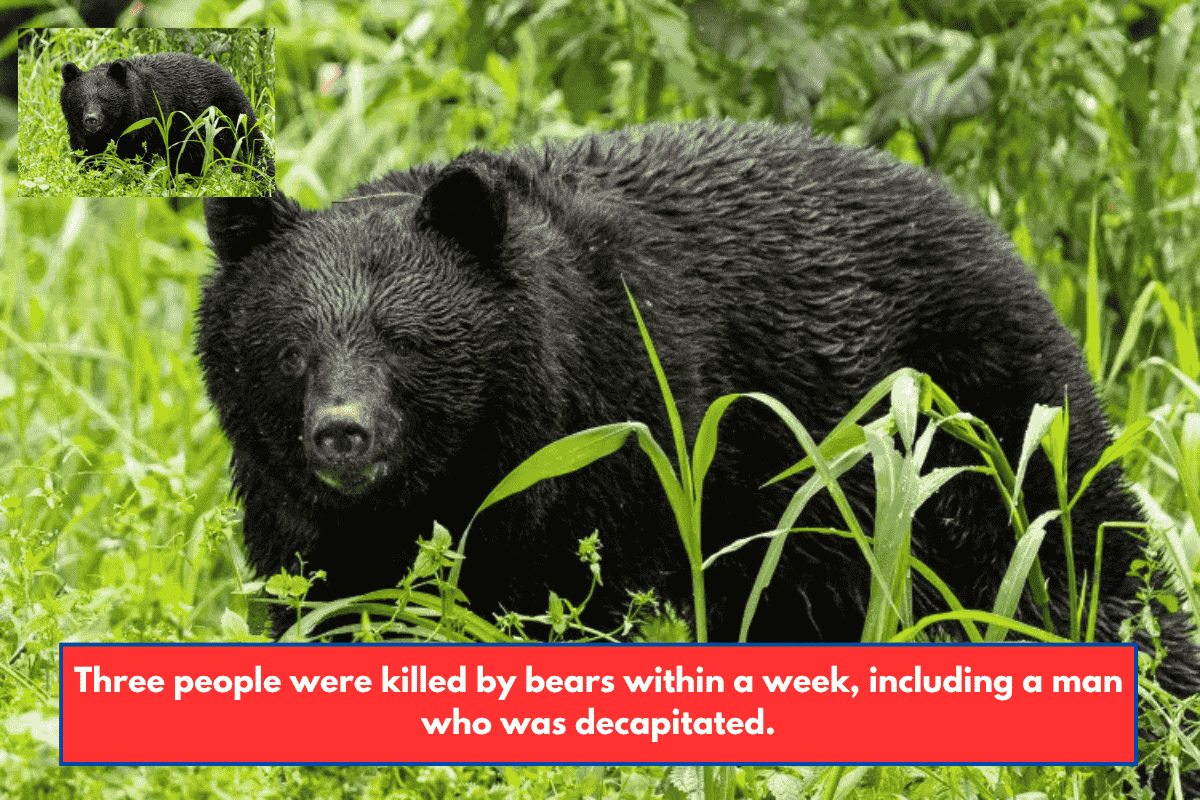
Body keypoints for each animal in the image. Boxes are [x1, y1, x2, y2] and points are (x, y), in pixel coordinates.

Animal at [60, 52, 272, 178]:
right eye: (81, 100)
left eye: (104, 99)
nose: (91, 119)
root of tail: (231, 76)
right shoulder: (83, 138)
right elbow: (89, 160)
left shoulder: (150, 121)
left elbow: (140, 158)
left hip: (228, 115)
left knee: (249, 147)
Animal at [199, 120, 1198, 786]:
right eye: (289, 351)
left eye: (404, 342)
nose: (342, 433)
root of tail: (991, 228)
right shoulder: (309, 525)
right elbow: (326, 608)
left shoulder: (615, 447)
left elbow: (575, 608)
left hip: (979, 415)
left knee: (1083, 561)